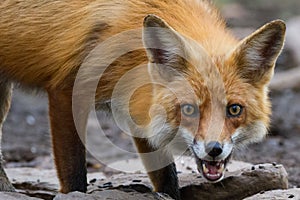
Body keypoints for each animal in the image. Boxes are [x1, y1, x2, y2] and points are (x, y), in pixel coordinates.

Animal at [0, 0, 286, 199]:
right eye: (189, 110)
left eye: (234, 109)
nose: (214, 149)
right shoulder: (67, 91)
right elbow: (74, 176)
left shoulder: (137, 103)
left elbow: (166, 176)